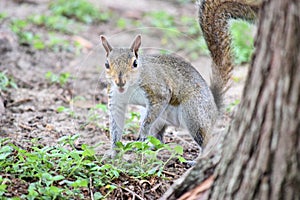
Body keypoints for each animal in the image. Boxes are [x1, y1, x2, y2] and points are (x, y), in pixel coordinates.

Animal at [100, 0, 260, 158]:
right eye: (106, 64)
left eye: (135, 63)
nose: (120, 82)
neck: (128, 88)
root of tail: (214, 109)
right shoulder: (116, 99)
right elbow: (116, 125)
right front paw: (113, 151)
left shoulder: (158, 92)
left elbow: (151, 116)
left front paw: (142, 133)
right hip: (161, 119)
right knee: (159, 138)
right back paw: (152, 148)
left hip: (194, 114)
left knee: (205, 140)